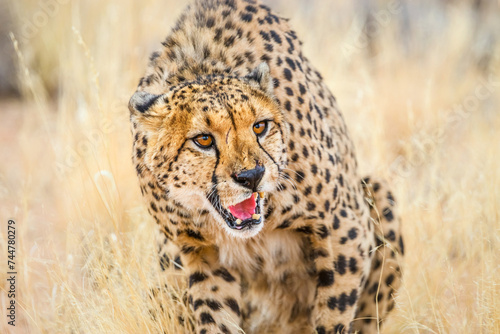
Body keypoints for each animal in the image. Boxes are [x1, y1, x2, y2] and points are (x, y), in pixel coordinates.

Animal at [128, 1, 402, 332]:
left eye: (260, 126)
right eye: (203, 139)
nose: (251, 176)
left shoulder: (343, 224)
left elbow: (334, 311)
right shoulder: (202, 254)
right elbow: (215, 317)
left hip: (378, 193)